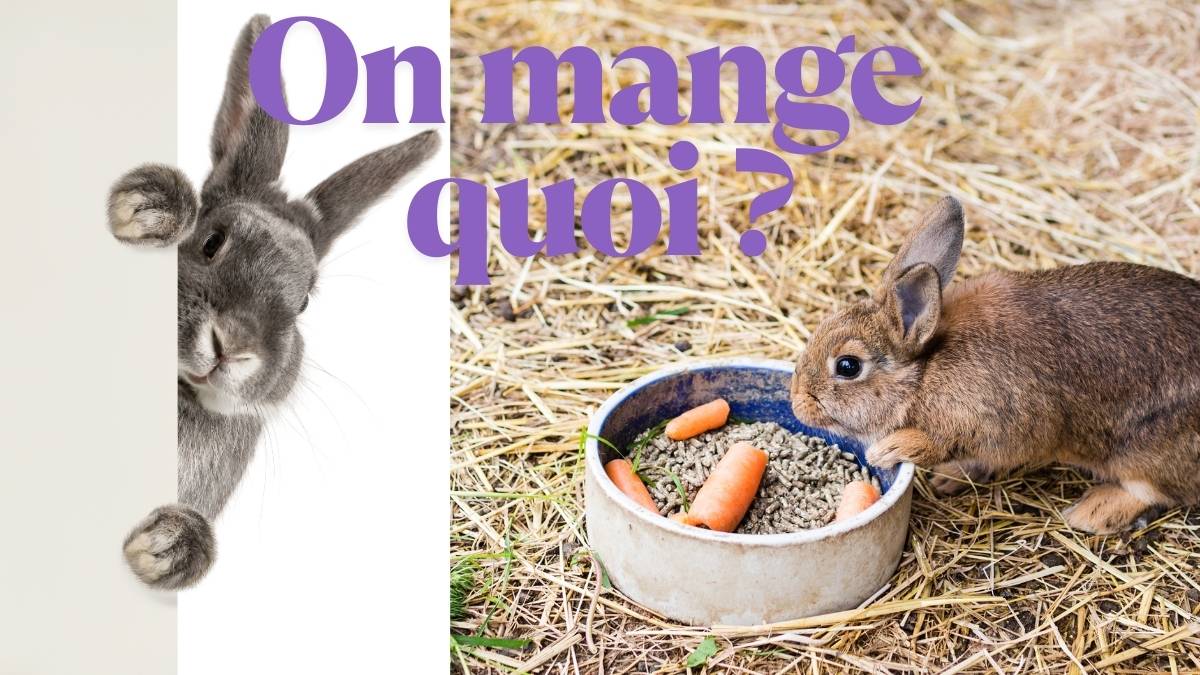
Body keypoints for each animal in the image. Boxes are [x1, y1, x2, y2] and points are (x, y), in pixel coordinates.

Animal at [790, 195, 1200, 534]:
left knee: (1155, 491)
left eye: (848, 366)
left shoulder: (1003, 421)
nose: (797, 403)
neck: (925, 372)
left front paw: (891, 449)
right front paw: (947, 477)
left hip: (1143, 453)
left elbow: (945, 443)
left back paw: (1091, 513)